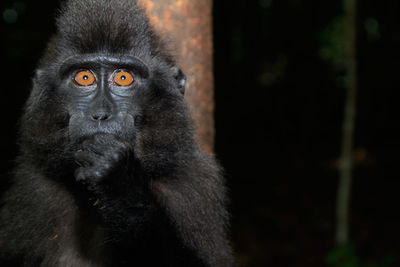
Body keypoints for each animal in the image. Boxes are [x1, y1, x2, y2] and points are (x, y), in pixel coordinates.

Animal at [0, 1, 234, 266]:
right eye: (84, 77)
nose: (101, 115)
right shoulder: (32, 190)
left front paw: (121, 186)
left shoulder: (193, 184)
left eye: (123, 77)